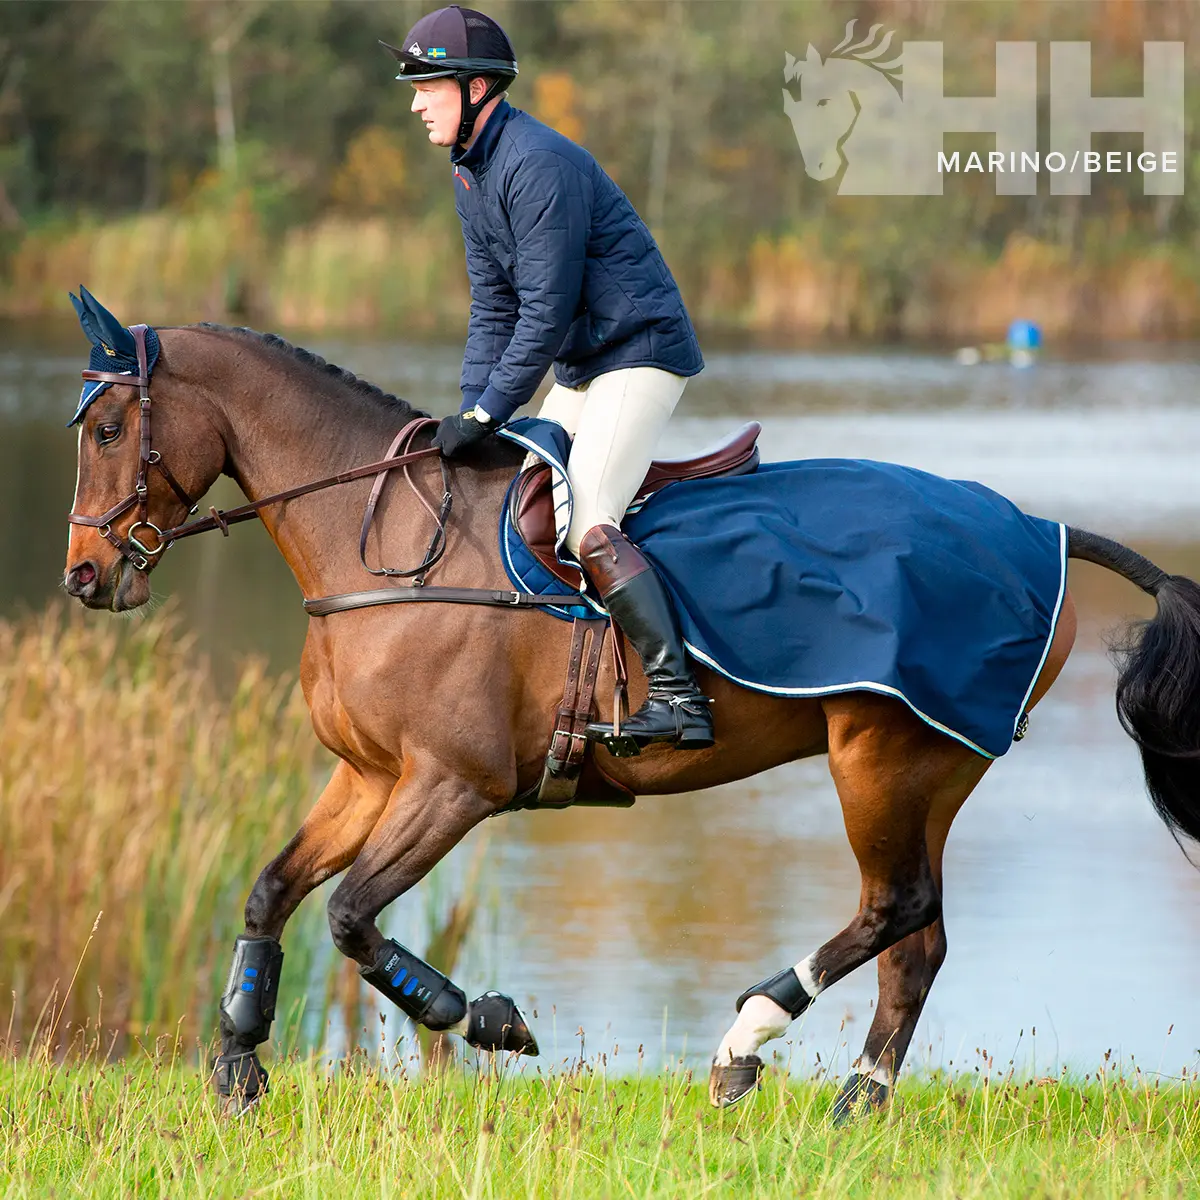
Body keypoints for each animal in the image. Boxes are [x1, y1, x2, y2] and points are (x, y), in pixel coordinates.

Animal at [62, 306, 1200, 1121]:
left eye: (113, 429)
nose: (83, 576)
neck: (380, 544)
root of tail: (1040, 527)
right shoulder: (370, 776)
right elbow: (272, 891)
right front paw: (239, 1061)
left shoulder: (453, 787)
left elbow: (349, 915)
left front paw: (486, 1019)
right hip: (932, 774)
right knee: (917, 940)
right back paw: (859, 1102)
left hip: (882, 759)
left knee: (896, 908)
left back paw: (744, 1044)